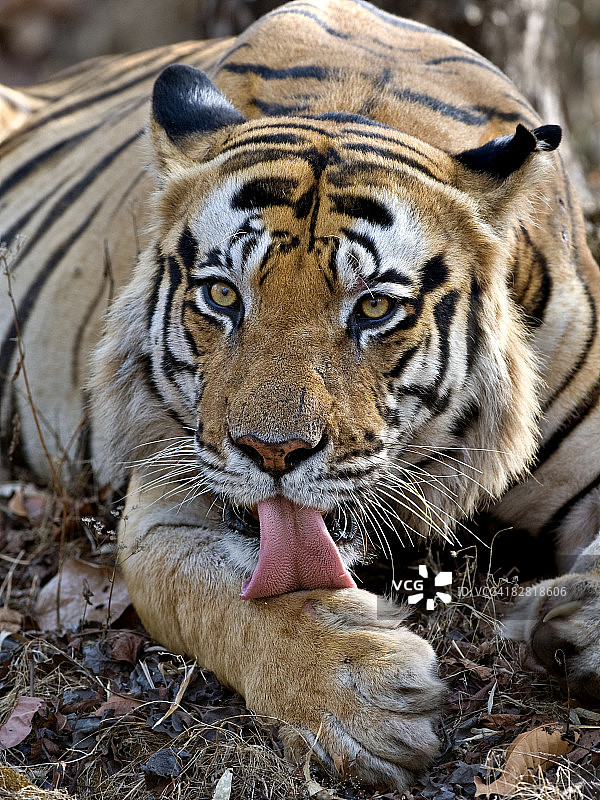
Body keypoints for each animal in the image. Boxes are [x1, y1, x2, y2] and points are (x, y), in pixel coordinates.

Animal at [1, 0, 600, 790]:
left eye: (374, 308)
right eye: (224, 295)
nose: (272, 451)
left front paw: (578, 625)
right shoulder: (164, 505)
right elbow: (231, 598)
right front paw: (359, 690)